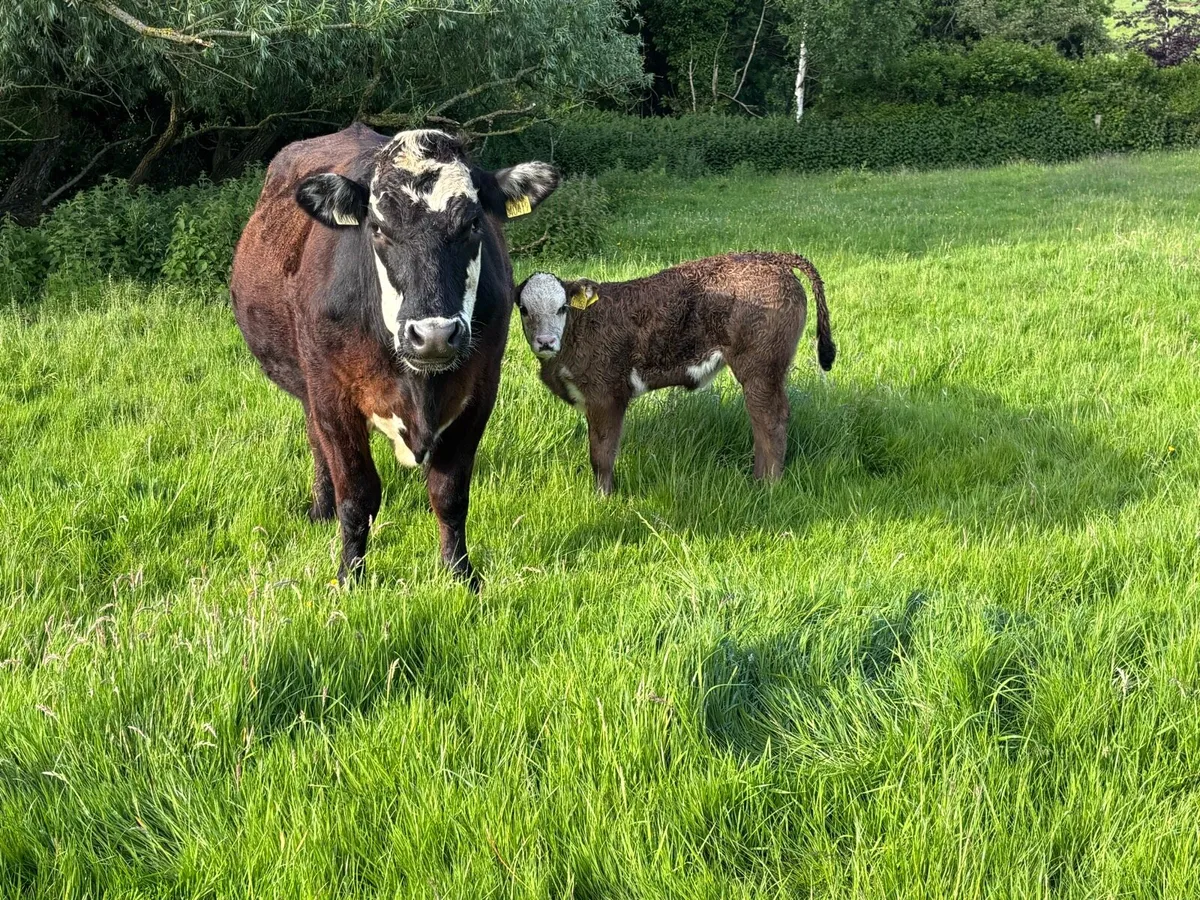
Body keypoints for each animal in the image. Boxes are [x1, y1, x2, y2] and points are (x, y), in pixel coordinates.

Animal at [230, 125, 559, 589]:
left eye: (473, 223)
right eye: (379, 228)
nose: (434, 335)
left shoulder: (480, 391)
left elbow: (450, 493)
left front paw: (460, 574)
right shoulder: (332, 394)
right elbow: (357, 495)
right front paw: (350, 577)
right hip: (308, 385)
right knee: (316, 442)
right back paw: (321, 508)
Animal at [514, 252, 834, 492]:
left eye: (562, 307)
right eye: (524, 309)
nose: (546, 341)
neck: (578, 330)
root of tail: (772, 258)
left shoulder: (607, 395)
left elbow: (601, 454)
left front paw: (603, 498)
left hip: (760, 369)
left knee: (769, 420)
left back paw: (766, 484)